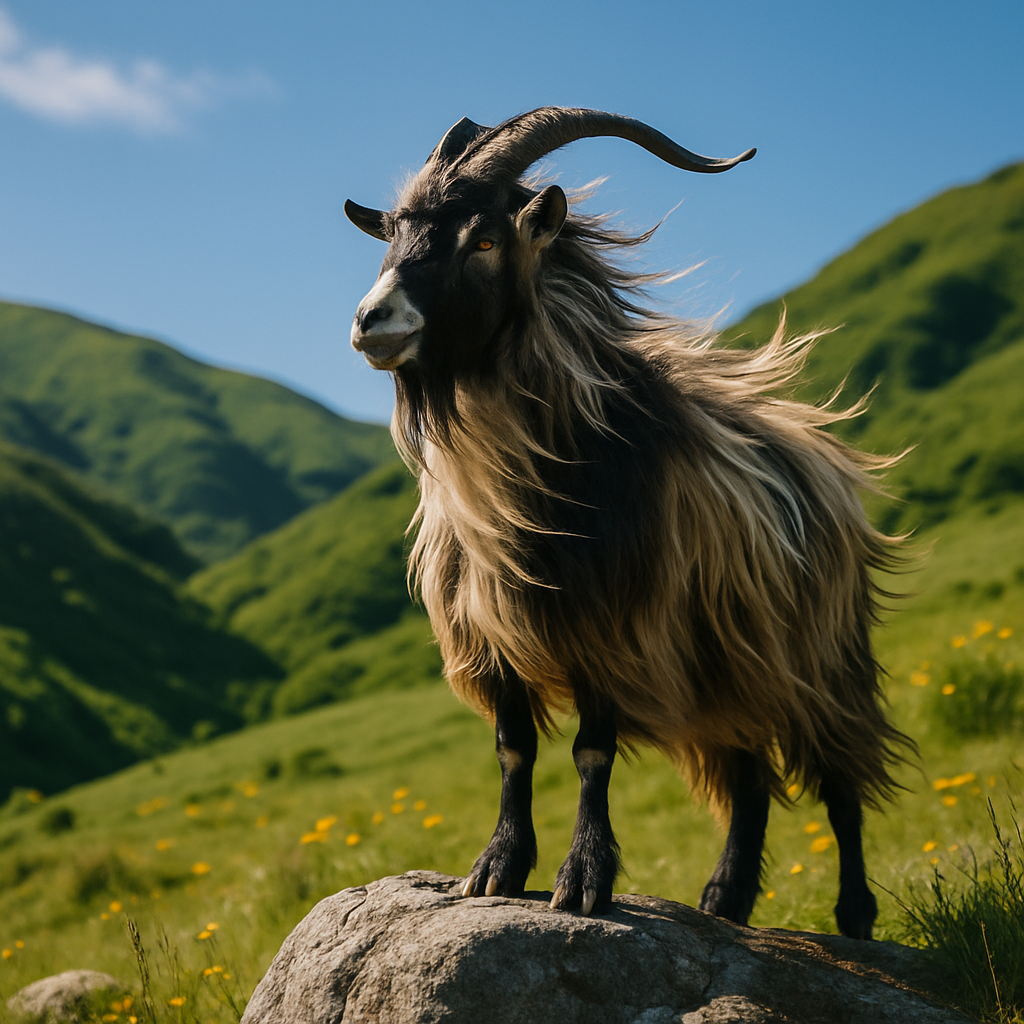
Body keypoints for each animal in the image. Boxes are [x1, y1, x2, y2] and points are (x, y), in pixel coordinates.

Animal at [345, 107, 911, 938]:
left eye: (485, 240)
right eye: (391, 235)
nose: (371, 321)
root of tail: (825, 458)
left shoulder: (613, 625)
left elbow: (591, 753)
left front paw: (582, 880)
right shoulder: (494, 636)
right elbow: (513, 750)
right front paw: (496, 868)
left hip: (817, 653)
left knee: (839, 778)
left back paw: (853, 916)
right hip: (727, 663)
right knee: (750, 773)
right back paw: (725, 901)